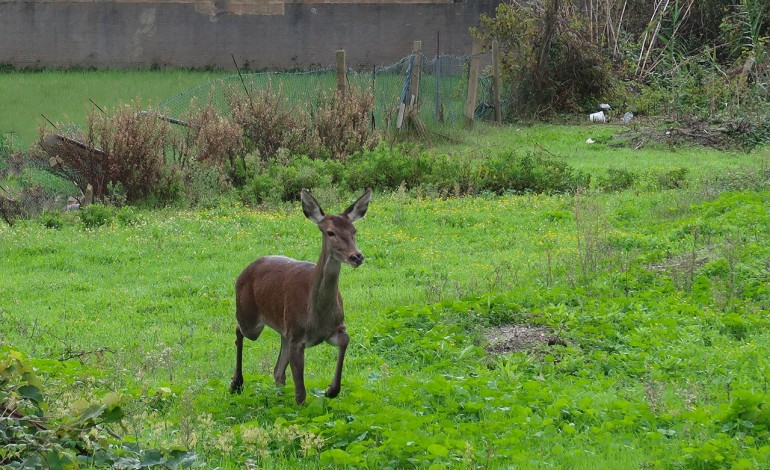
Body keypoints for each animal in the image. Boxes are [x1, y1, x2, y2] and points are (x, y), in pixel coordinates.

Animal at [228, 187, 372, 404]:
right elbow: (300, 392)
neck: (316, 316)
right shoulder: (297, 336)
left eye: (354, 231)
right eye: (330, 232)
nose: (357, 256)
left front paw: (331, 390)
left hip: (283, 329)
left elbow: (345, 340)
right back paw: (236, 383)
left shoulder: (331, 328)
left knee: (278, 370)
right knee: (239, 330)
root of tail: (245, 270)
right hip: (250, 318)